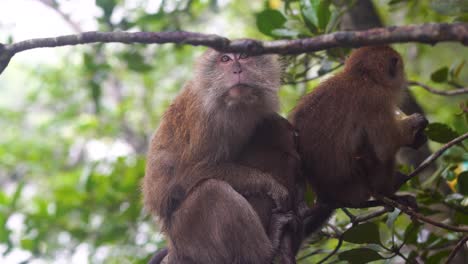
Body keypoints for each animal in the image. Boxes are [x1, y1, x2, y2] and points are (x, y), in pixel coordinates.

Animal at [290, 46, 430, 212]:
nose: (404, 76)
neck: (363, 76)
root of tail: (327, 197)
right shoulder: (376, 98)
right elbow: (384, 146)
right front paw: (414, 126)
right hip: (358, 186)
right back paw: (389, 195)